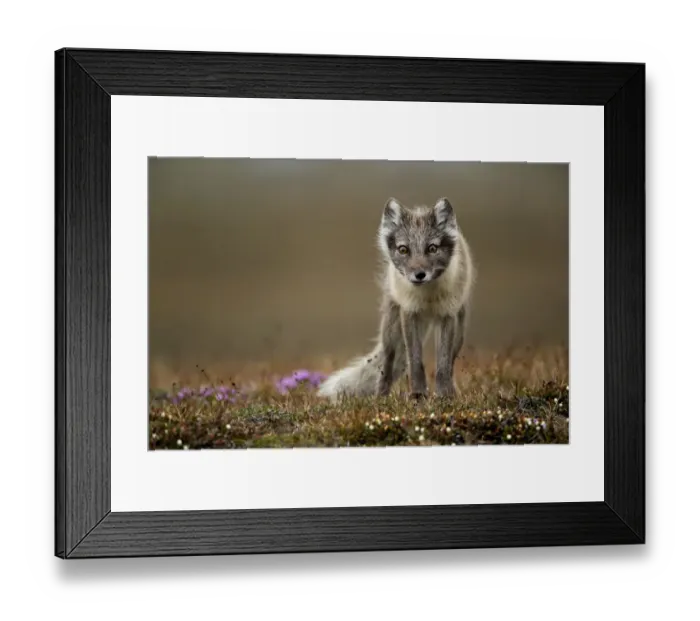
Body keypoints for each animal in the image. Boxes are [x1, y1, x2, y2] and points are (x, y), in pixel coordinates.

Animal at [317, 196, 475, 402]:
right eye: (403, 249)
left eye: (432, 248)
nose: (419, 275)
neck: (427, 299)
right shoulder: (409, 313)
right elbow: (415, 361)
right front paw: (418, 395)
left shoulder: (447, 316)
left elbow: (443, 364)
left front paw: (443, 395)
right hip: (391, 331)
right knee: (386, 364)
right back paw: (381, 397)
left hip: (459, 333)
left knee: (451, 362)